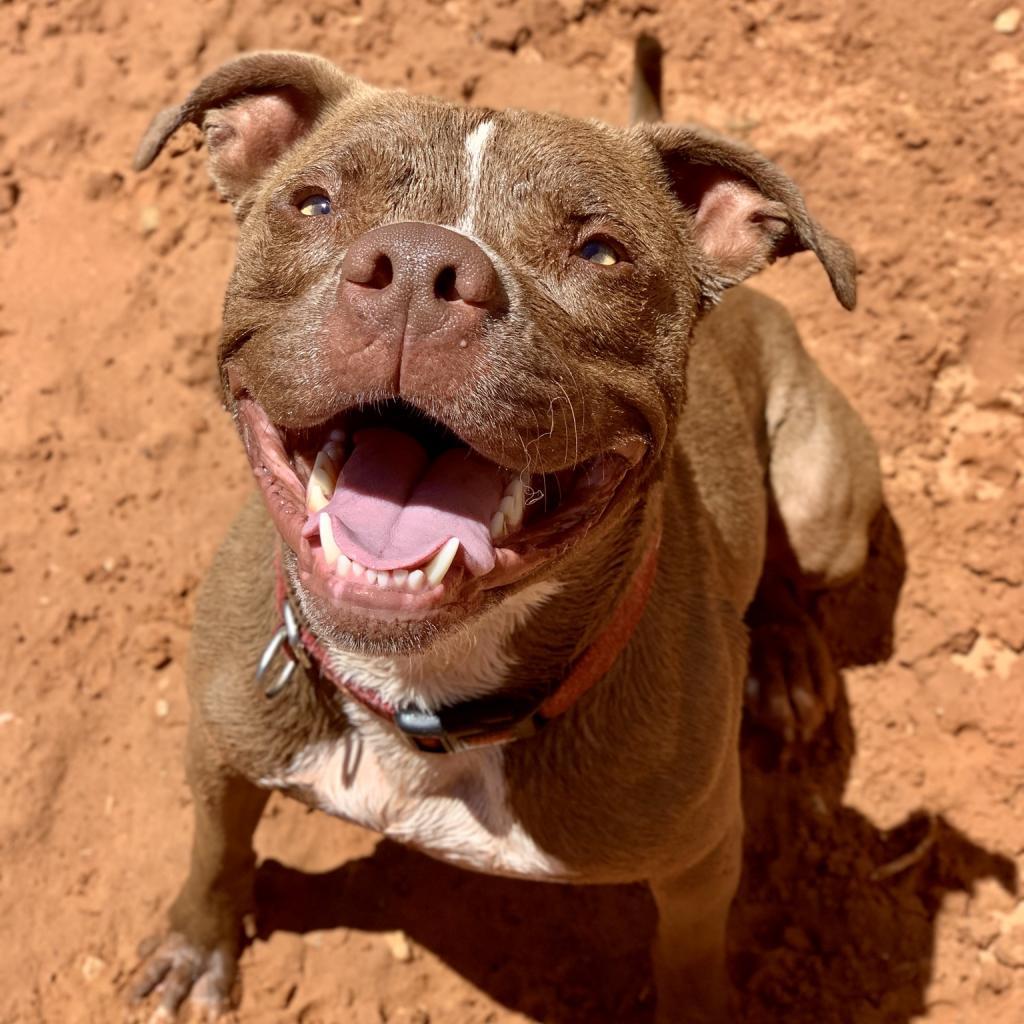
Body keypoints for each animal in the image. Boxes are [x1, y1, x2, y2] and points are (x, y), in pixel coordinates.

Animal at [128, 36, 880, 1019]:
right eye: (315, 202)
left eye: (601, 252)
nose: (420, 267)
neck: (420, 692)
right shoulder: (219, 747)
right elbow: (216, 849)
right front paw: (196, 947)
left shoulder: (703, 862)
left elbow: (689, 960)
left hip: (825, 498)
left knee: (797, 569)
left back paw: (786, 662)